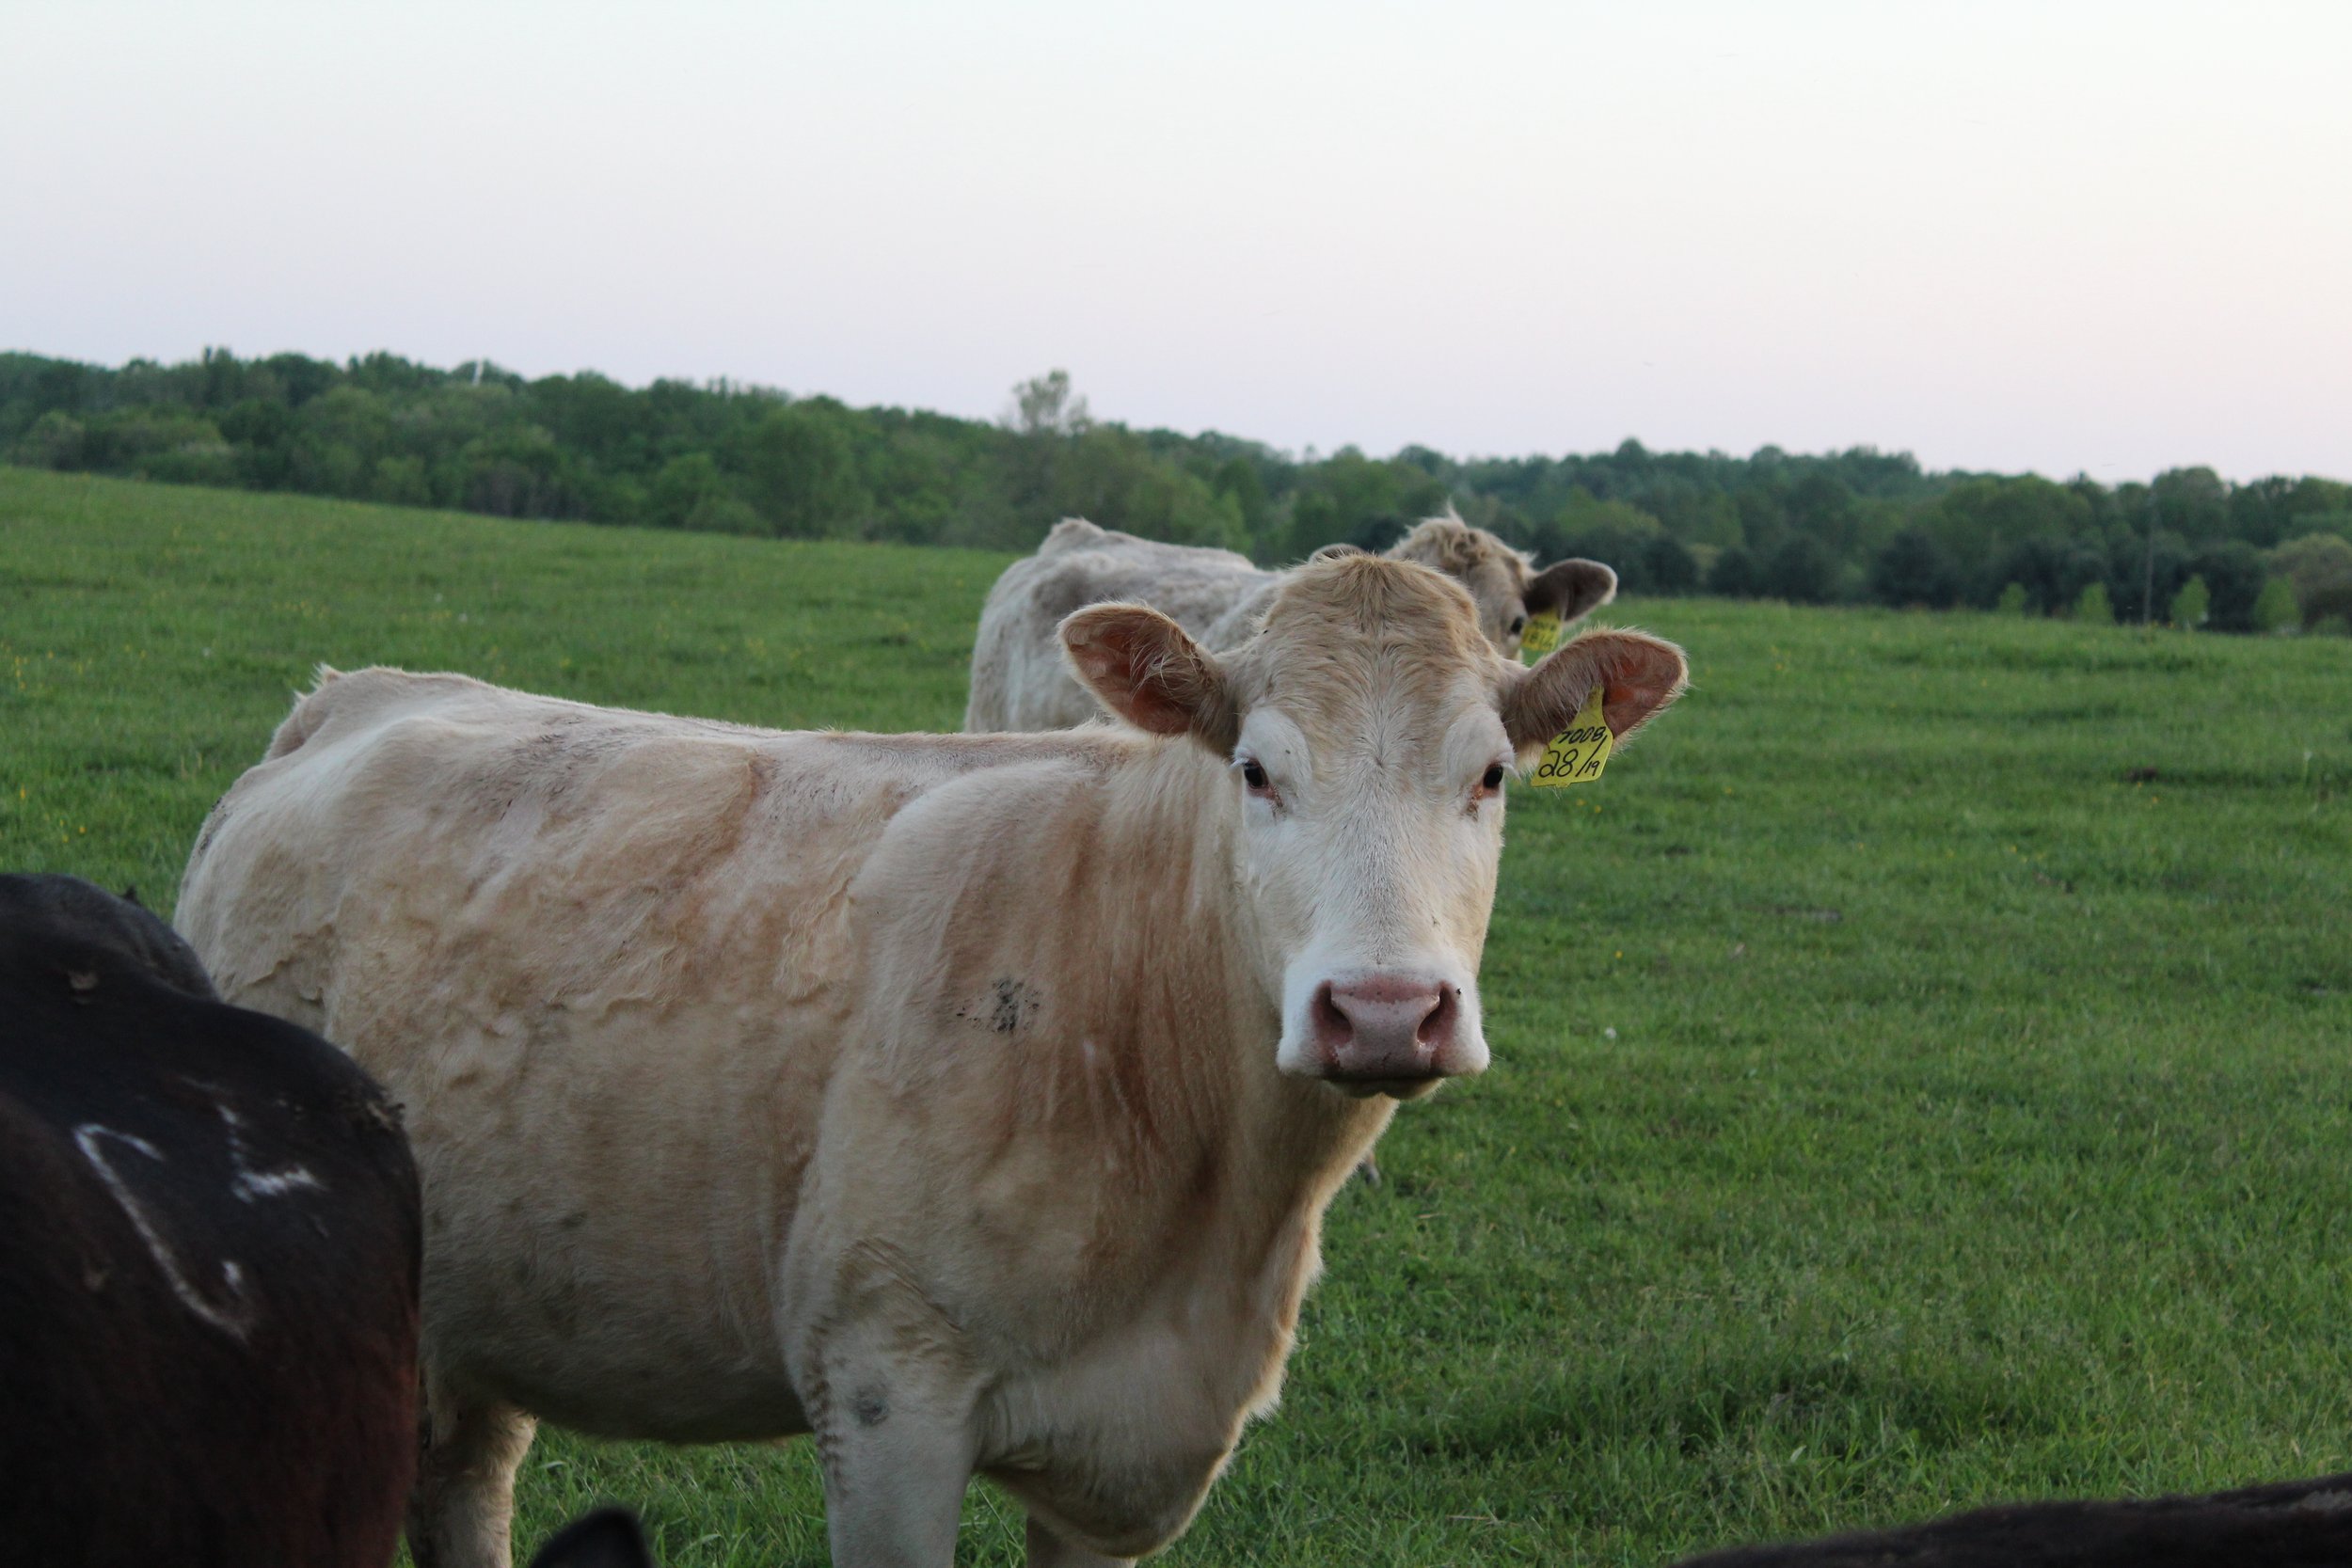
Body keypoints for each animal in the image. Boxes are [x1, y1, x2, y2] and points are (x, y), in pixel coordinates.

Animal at [176, 553, 1687, 1567]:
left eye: (1490, 774)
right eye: (1256, 770)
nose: (1382, 1009)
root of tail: (354, 694)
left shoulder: (1124, 1453)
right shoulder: (887, 1387)